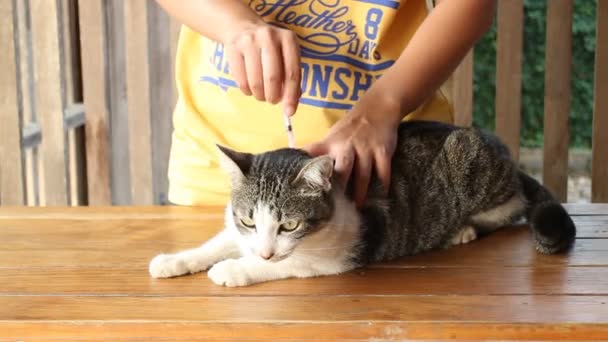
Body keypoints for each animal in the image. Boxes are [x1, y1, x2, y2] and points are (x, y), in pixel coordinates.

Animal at [148, 120, 576, 286]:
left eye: (289, 225)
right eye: (249, 220)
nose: (266, 250)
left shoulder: (332, 257)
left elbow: (285, 264)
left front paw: (235, 268)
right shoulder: (239, 233)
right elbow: (214, 244)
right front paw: (175, 260)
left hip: (471, 164)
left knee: (510, 207)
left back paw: (464, 230)